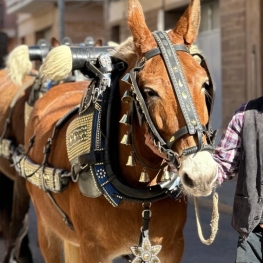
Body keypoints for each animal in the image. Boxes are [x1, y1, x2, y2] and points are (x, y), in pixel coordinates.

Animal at [20, 0, 220, 262]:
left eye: (205, 84)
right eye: (149, 91)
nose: (201, 174)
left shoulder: (170, 248)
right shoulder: (92, 250)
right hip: (47, 229)